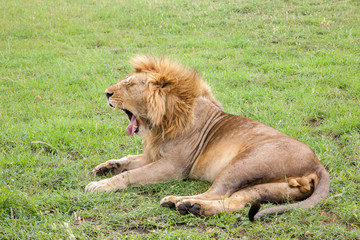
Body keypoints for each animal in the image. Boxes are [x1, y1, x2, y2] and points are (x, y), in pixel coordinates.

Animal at [85, 55, 330, 220]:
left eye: (129, 84)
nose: (106, 93)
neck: (161, 122)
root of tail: (317, 164)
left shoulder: (174, 166)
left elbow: (131, 175)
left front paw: (100, 185)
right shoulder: (154, 154)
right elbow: (128, 160)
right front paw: (106, 167)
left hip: (243, 164)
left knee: (216, 192)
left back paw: (180, 202)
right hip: (271, 187)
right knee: (233, 201)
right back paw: (194, 207)